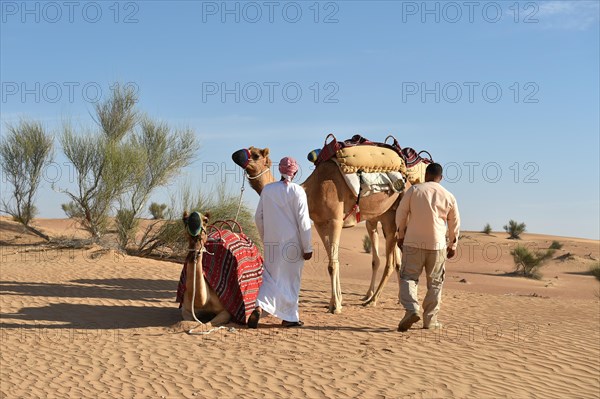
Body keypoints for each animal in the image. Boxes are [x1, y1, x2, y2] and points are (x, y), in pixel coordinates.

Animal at [232, 147, 406, 316]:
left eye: (255, 154)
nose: (235, 155)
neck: (311, 191)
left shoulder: (336, 220)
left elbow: (332, 264)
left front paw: (335, 306)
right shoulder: (320, 224)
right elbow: (333, 262)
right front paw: (336, 301)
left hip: (392, 217)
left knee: (391, 262)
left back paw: (373, 300)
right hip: (380, 217)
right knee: (386, 259)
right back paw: (385, 298)